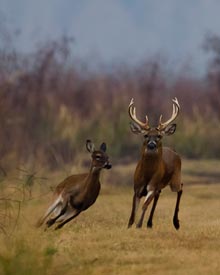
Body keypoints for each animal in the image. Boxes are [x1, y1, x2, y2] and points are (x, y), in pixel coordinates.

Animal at [127, 98, 182, 230]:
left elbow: (144, 205)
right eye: (145, 135)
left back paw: (176, 223)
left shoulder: (152, 186)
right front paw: (129, 226)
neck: (147, 174)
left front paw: (138, 225)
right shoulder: (137, 188)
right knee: (159, 195)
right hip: (160, 185)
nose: (151, 144)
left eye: (159, 136)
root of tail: (174, 151)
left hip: (175, 179)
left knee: (180, 189)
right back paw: (149, 223)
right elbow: (133, 211)